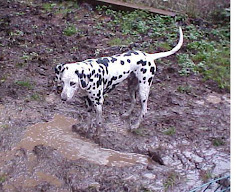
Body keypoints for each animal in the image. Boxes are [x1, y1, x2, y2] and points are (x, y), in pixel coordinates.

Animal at [54, 27, 182, 131]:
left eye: (72, 83)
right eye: (62, 82)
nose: (63, 98)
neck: (90, 72)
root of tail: (149, 56)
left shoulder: (98, 102)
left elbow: (98, 122)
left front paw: (96, 133)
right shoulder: (88, 100)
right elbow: (88, 117)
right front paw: (85, 127)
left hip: (143, 91)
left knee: (144, 110)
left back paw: (135, 126)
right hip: (131, 87)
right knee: (133, 101)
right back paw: (126, 115)